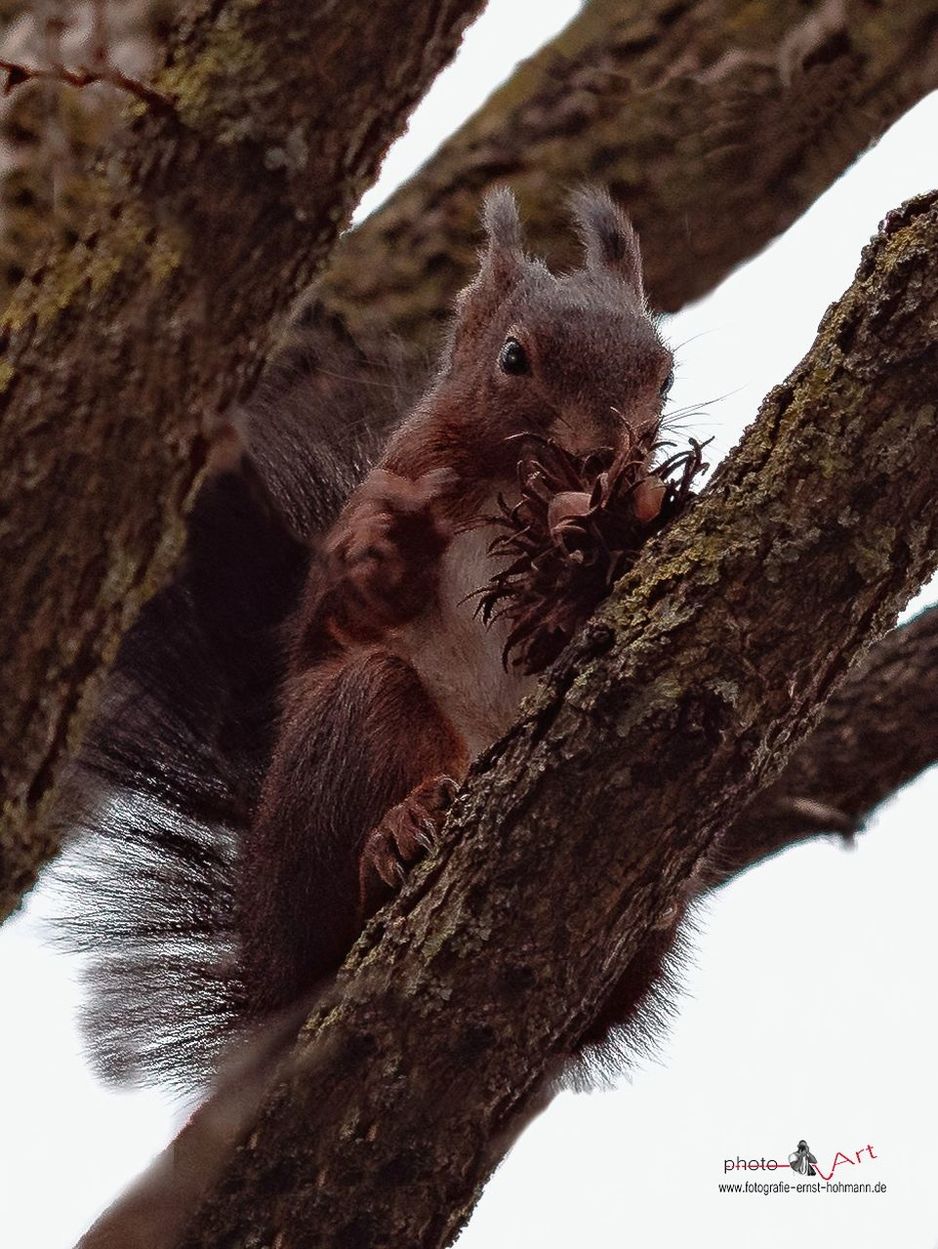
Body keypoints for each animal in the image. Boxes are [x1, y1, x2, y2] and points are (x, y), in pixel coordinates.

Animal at [51, 187, 679, 1094]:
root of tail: (265, 958)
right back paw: (397, 833)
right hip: (351, 729)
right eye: (514, 357)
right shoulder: (390, 493)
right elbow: (336, 609)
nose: (603, 455)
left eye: (664, 373)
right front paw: (389, 547)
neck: (510, 485)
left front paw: (610, 539)